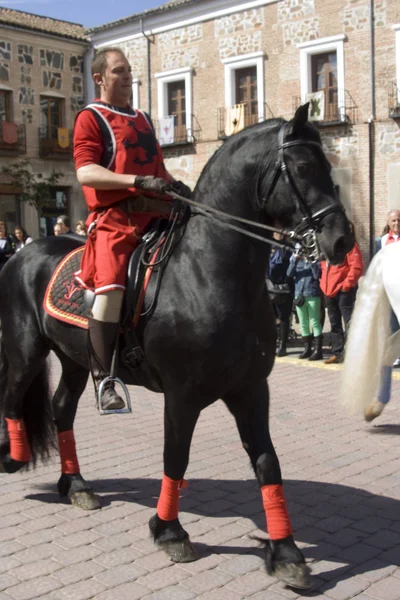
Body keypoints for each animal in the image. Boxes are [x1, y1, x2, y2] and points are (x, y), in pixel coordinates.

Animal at [0, 105, 352, 588]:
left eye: (329, 167)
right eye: (300, 168)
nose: (343, 239)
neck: (208, 273)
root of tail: (22, 252)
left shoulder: (250, 390)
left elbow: (267, 463)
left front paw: (286, 553)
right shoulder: (182, 395)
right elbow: (176, 458)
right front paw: (170, 531)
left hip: (75, 360)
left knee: (61, 410)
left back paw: (76, 485)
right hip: (25, 351)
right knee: (13, 398)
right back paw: (13, 458)